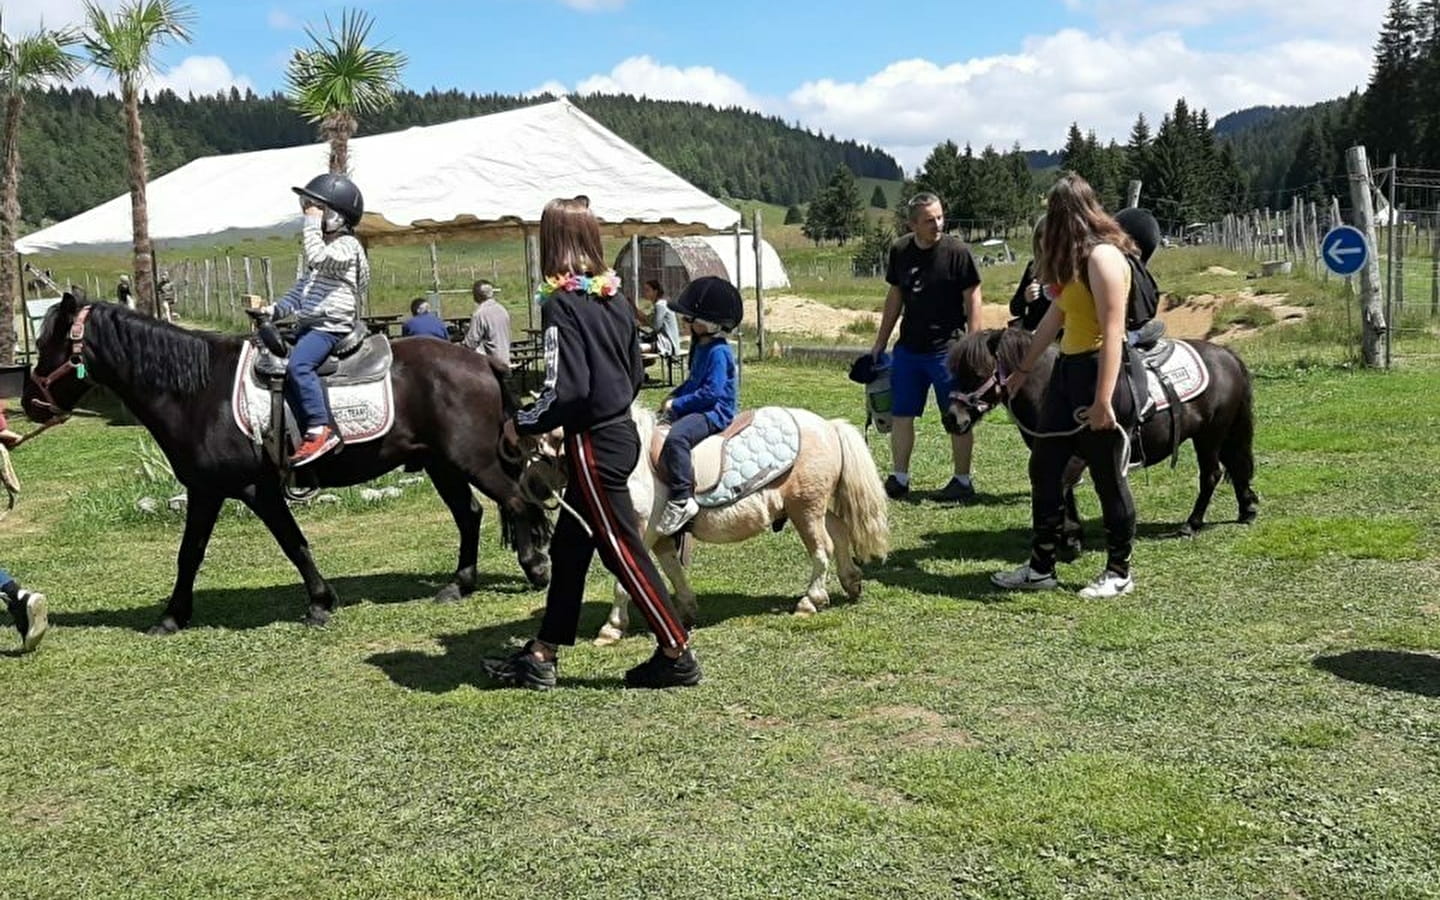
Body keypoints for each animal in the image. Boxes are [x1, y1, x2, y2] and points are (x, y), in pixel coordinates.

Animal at [22, 295, 550, 630]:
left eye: (48, 344)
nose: (29, 402)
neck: (199, 391)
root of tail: (482, 362)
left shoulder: (243, 490)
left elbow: (277, 545)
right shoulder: (217, 491)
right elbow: (208, 550)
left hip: (471, 460)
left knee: (516, 502)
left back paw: (534, 569)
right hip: (442, 464)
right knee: (472, 514)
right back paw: (459, 585)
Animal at [587, 403, 887, 642]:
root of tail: (829, 426)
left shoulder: (640, 530)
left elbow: (625, 579)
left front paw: (611, 629)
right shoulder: (660, 537)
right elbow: (673, 571)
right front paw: (687, 611)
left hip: (806, 508)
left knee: (823, 548)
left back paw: (810, 601)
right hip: (811, 507)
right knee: (839, 531)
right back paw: (851, 582)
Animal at [944, 328, 1261, 532]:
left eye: (978, 373)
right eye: (955, 371)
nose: (952, 419)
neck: (1050, 387)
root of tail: (1227, 356)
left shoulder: (1075, 456)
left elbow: (1063, 487)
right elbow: (1065, 490)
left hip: (1210, 436)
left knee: (1212, 474)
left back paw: (1192, 524)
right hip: (1221, 433)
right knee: (1236, 465)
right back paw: (1246, 510)